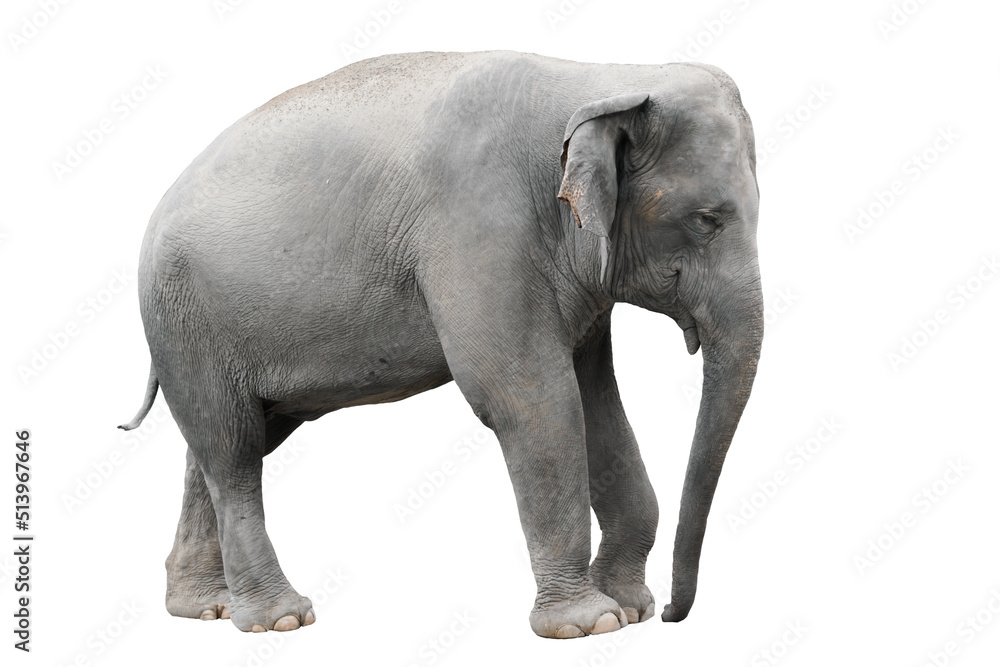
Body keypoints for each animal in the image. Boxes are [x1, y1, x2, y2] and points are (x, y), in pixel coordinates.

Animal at [120, 50, 763, 639]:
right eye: (706, 219)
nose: (674, 616)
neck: (603, 77)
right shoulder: (480, 229)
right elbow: (532, 400)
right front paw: (590, 624)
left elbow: (597, 404)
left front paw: (628, 608)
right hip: (187, 316)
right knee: (232, 452)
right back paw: (278, 620)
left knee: (227, 442)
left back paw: (204, 607)